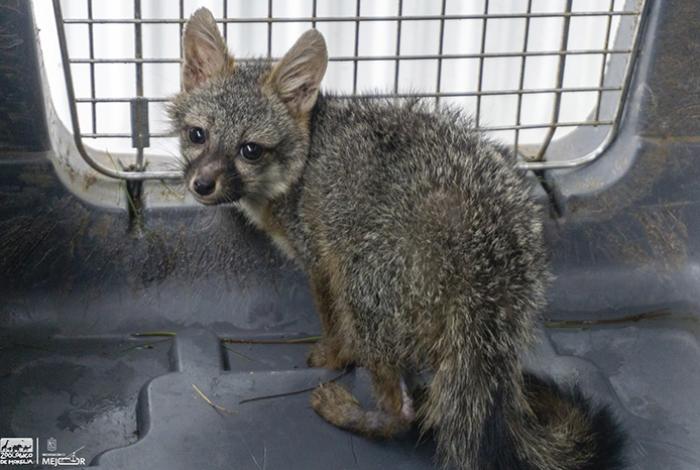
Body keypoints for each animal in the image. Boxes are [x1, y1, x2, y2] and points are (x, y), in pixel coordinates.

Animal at [170, 8, 626, 470]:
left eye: (250, 150)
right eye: (197, 135)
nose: (202, 184)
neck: (307, 156)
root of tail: (487, 250)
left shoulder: (321, 260)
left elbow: (334, 326)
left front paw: (331, 357)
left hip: (362, 286)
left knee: (401, 413)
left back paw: (350, 412)